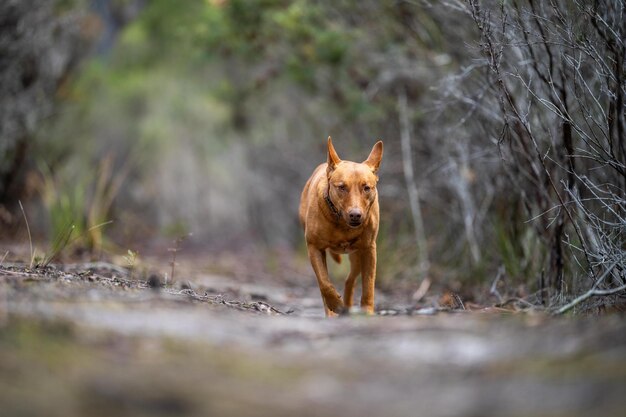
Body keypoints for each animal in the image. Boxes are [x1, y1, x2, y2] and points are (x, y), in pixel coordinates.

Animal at [298, 136, 380, 316]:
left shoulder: (369, 249)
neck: (342, 223)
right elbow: (324, 284)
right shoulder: (314, 248)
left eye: (366, 188)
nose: (355, 215)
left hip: (357, 255)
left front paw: (367, 312)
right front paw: (335, 304)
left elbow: (368, 285)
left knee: (350, 279)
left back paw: (348, 304)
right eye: (342, 187)